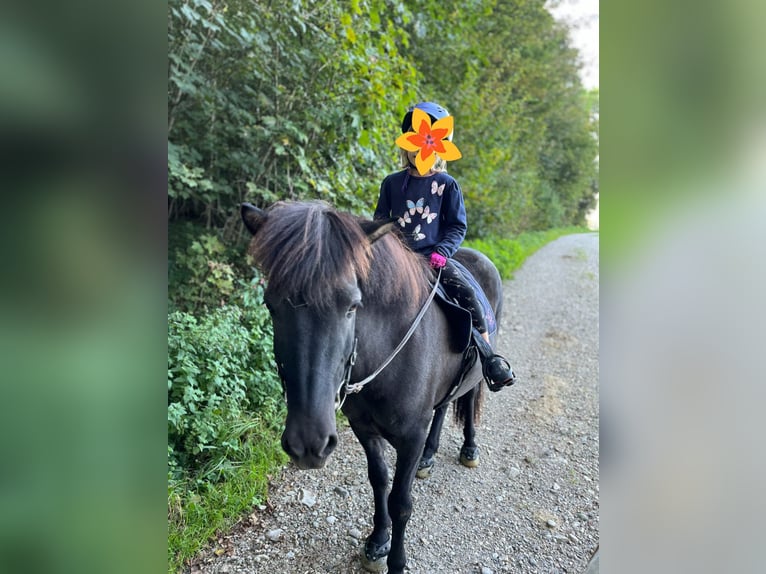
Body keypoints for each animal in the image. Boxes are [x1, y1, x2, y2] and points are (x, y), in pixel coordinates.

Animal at [240, 201, 504, 574]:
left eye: (352, 306)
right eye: (270, 305)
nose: (308, 443)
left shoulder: (410, 437)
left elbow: (401, 502)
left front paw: (397, 561)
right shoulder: (363, 428)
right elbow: (378, 481)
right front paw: (378, 542)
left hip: (478, 374)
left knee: (467, 402)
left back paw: (469, 449)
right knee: (442, 409)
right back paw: (430, 456)